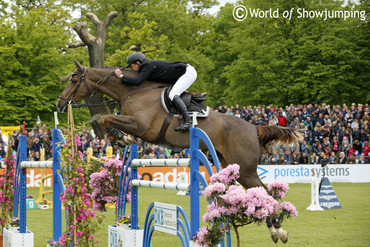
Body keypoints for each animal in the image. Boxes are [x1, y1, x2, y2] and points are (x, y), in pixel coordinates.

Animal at [56, 60, 302, 243]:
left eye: (75, 80)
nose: (60, 105)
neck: (132, 91)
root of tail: (253, 127)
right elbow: (104, 119)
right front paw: (124, 138)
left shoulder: (141, 125)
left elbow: (105, 118)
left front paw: (123, 137)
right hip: (234, 167)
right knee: (262, 193)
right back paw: (276, 229)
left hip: (246, 170)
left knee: (268, 194)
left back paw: (278, 230)